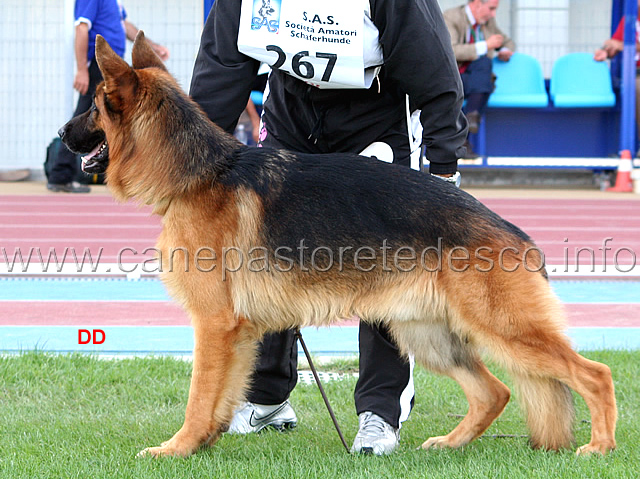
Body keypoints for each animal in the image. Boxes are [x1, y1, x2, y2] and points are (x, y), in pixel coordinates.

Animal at [58, 31, 616, 460]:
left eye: (93, 105)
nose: (62, 133)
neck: (200, 174)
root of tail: (513, 231)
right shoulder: (238, 332)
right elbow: (221, 395)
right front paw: (205, 443)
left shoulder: (215, 325)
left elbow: (199, 396)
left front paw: (177, 448)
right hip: (430, 335)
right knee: (494, 391)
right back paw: (451, 444)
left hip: (503, 330)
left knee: (596, 374)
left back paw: (600, 446)